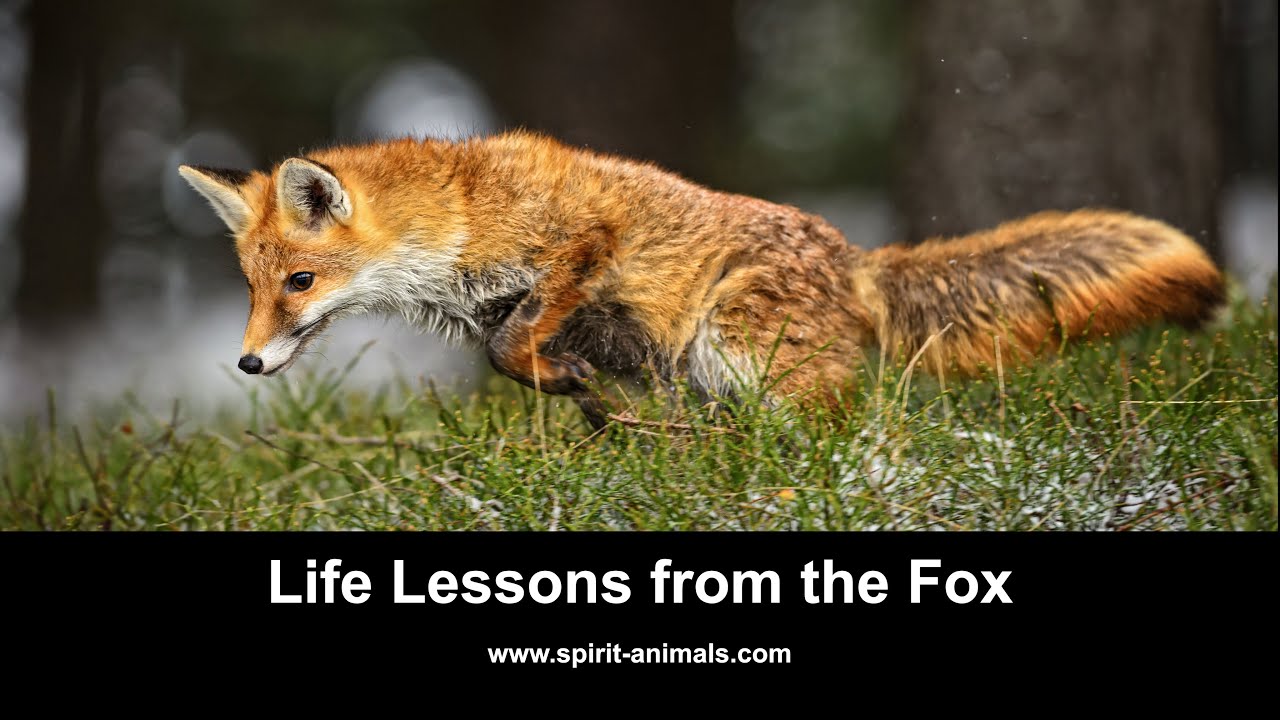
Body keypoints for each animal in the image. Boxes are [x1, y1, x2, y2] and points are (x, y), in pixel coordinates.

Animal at [175, 130, 1223, 425]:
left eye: (299, 282)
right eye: (254, 289)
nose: (246, 364)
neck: (462, 220)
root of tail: (857, 261)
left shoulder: (577, 250)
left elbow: (517, 341)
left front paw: (566, 381)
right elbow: (518, 354)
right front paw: (583, 399)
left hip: (740, 341)